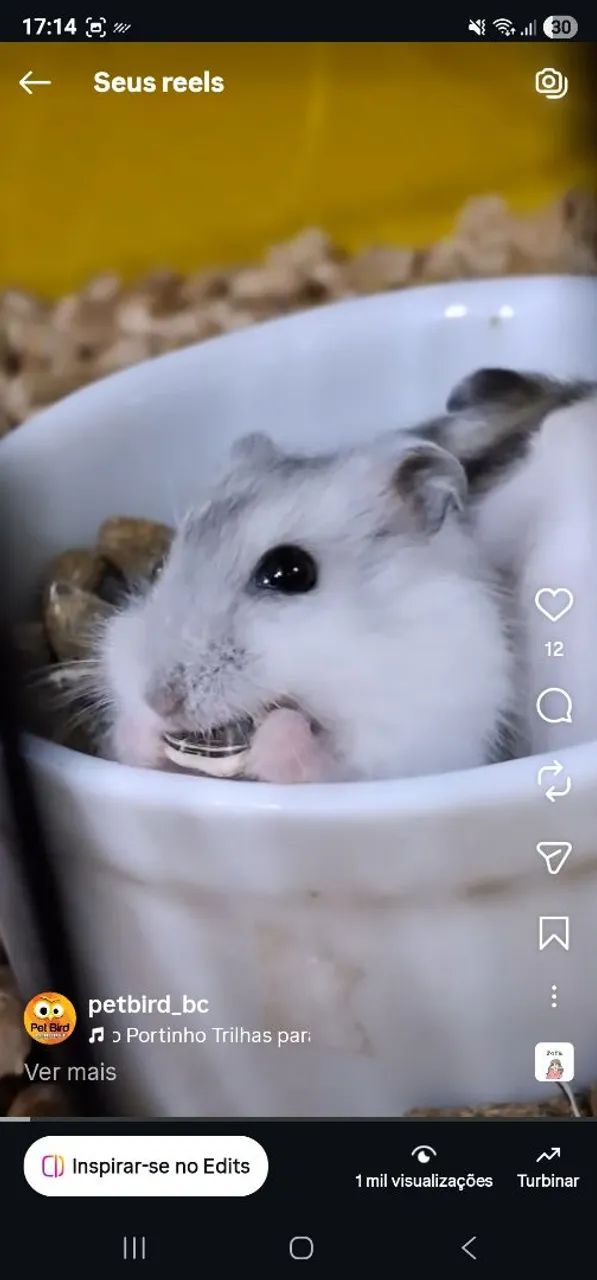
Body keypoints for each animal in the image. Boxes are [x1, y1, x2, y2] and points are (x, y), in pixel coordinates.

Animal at [95, 430, 517, 784]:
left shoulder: (421, 738)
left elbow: (326, 764)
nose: (158, 702)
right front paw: (141, 731)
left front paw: (278, 733)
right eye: (158, 565)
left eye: (290, 572)